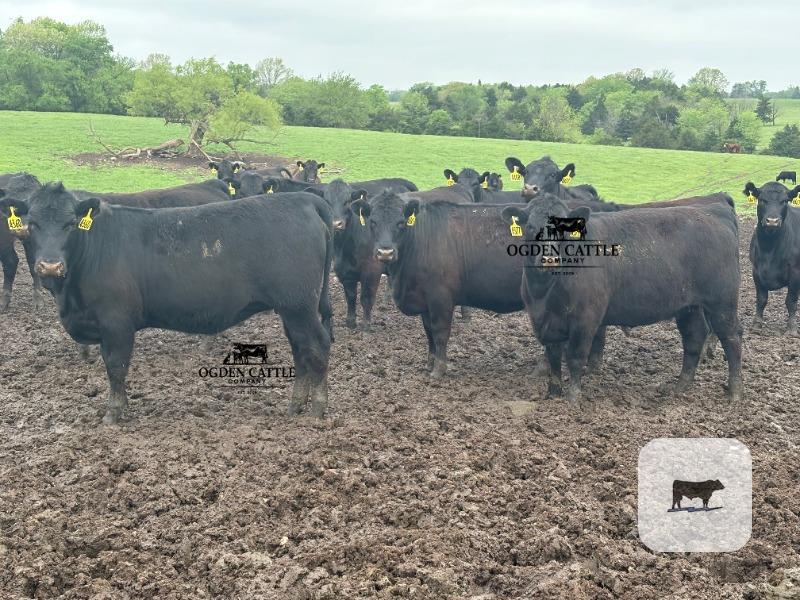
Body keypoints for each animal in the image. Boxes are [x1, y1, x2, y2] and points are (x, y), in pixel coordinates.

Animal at [501, 194, 743, 406]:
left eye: (565, 230)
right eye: (531, 227)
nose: (549, 259)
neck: (544, 291)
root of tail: (713, 211)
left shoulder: (585, 321)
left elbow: (575, 358)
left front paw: (572, 398)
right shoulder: (546, 322)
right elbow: (553, 360)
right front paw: (552, 394)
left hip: (722, 302)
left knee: (732, 339)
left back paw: (734, 392)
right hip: (688, 306)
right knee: (694, 338)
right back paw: (680, 386)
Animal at [745, 181, 800, 335]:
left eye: (785, 201)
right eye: (762, 200)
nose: (772, 221)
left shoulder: (795, 273)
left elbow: (791, 301)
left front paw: (791, 328)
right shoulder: (756, 271)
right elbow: (761, 299)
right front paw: (757, 324)